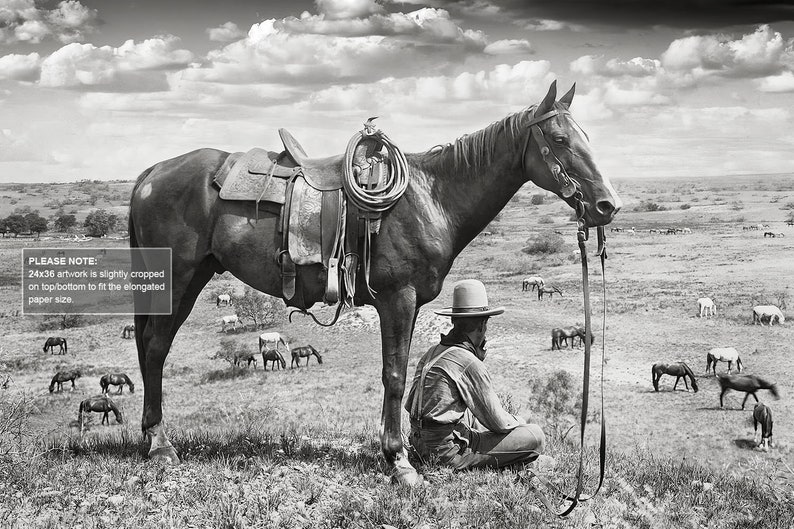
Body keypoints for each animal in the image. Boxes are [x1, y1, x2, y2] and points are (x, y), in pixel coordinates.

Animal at [127, 81, 621, 483]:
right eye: (560, 139)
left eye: (587, 137)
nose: (606, 205)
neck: (431, 197)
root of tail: (150, 174)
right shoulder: (397, 298)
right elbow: (395, 376)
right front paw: (398, 461)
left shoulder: (410, 302)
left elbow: (402, 373)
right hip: (178, 279)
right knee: (155, 348)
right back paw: (160, 445)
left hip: (190, 279)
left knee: (151, 347)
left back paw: (151, 439)